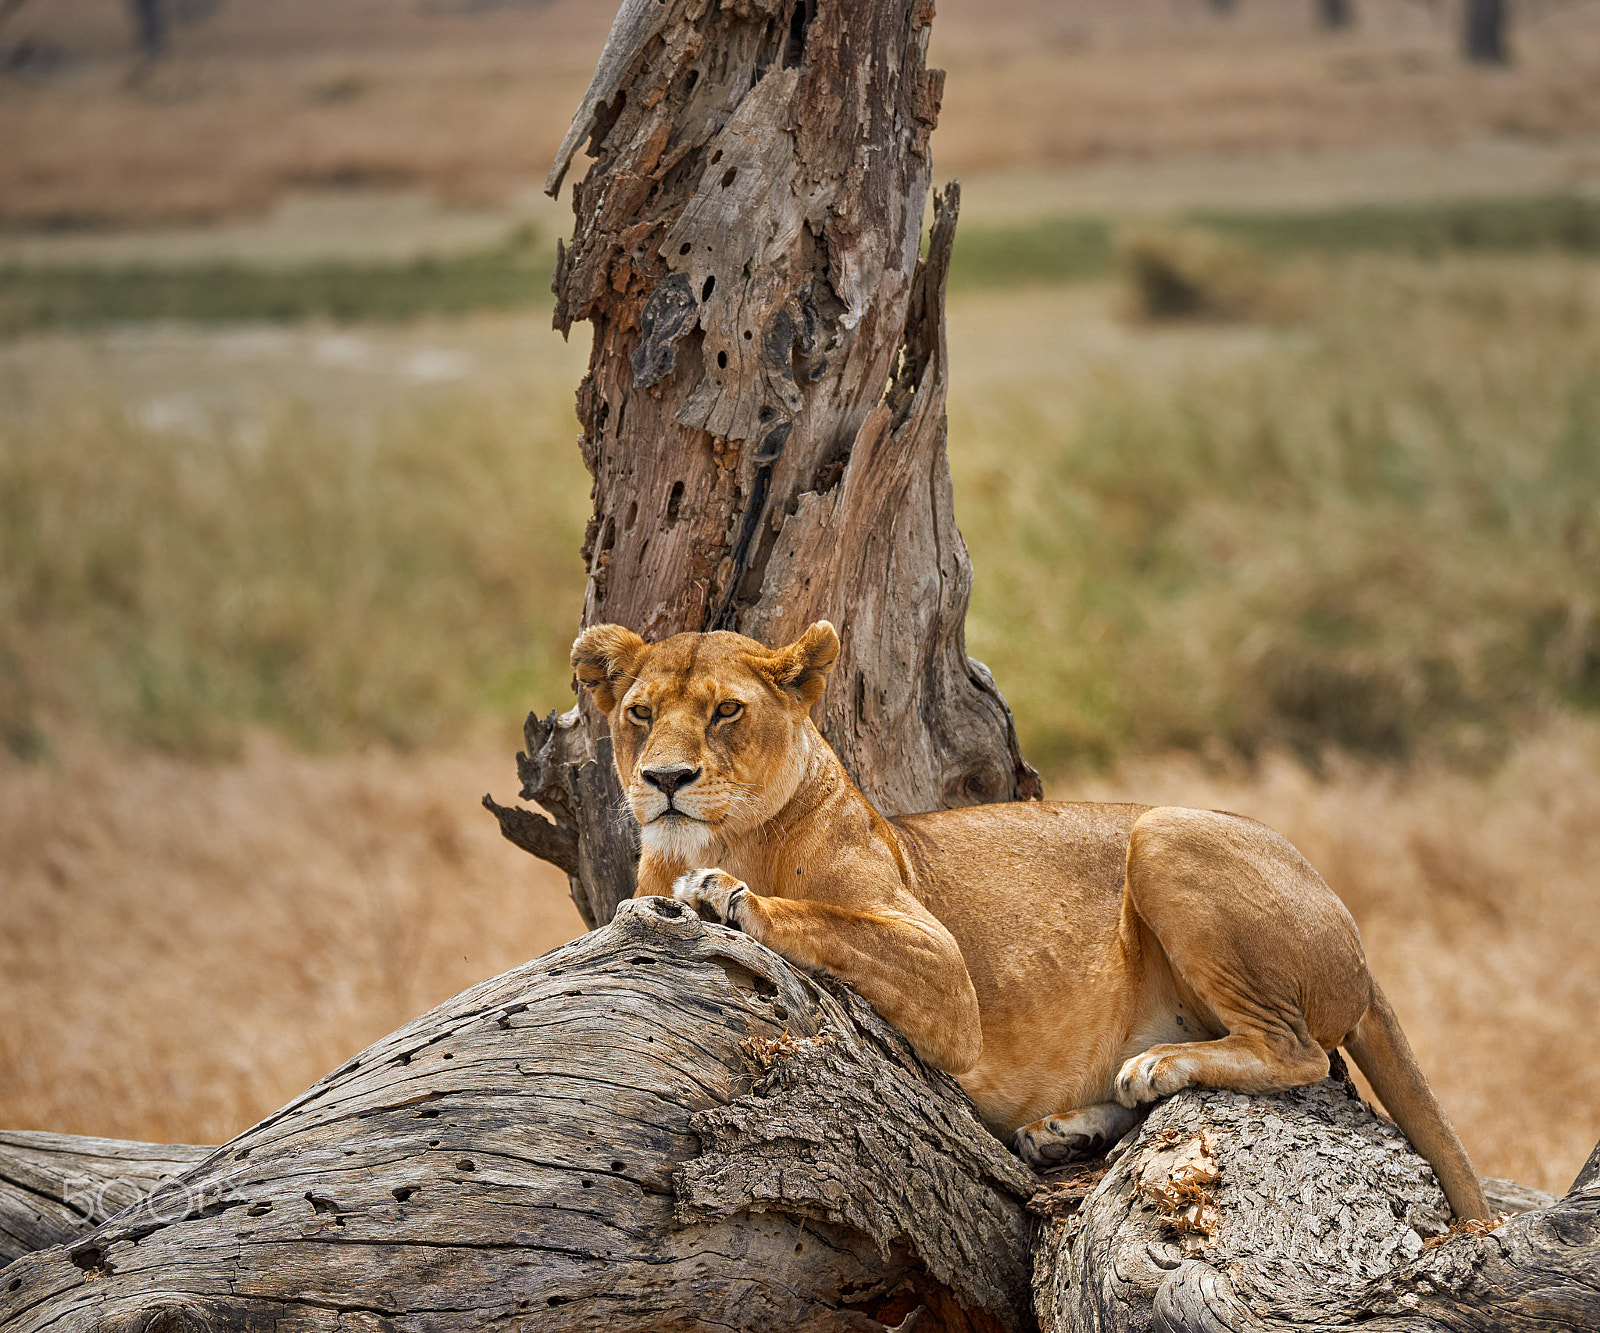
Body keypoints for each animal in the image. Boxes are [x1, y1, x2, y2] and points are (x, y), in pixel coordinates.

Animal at [572, 619, 1491, 1220]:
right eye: (641, 712)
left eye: (725, 710)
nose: (666, 779)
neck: (727, 833)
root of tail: (1355, 939)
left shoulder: (946, 976)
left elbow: (818, 915)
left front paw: (725, 894)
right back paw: (1067, 1127)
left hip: (1165, 830)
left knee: (1298, 1051)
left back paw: (1156, 1069)